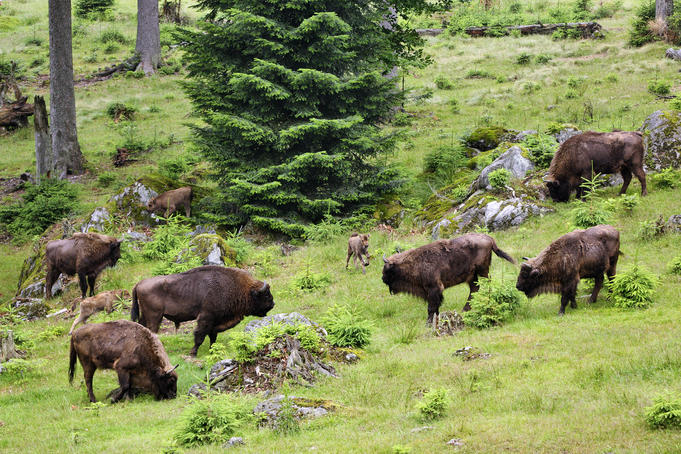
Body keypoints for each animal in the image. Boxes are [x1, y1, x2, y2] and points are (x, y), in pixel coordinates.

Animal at [131, 266, 275, 356]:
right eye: (266, 295)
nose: (273, 304)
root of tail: (139, 283)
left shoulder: (215, 321)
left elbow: (213, 337)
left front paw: (213, 350)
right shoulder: (206, 317)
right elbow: (200, 335)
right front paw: (193, 353)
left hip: (145, 315)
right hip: (155, 316)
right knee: (152, 331)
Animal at [382, 233, 516, 325]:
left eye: (387, 269)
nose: (382, 278)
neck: (414, 262)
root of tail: (490, 239)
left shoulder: (434, 289)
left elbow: (432, 307)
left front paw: (428, 323)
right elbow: (436, 307)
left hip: (482, 270)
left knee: (486, 283)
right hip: (472, 275)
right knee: (474, 288)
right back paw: (465, 309)